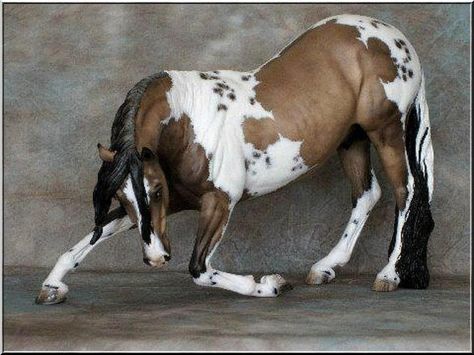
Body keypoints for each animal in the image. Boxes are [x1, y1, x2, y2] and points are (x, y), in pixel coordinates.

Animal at [36, 14, 434, 306]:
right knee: (367, 195)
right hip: (352, 139)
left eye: (157, 190)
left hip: (385, 131)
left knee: (405, 191)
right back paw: (324, 268)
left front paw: (271, 285)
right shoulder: (166, 207)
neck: (189, 124)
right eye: (122, 196)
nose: (156, 259)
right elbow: (92, 236)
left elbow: (199, 268)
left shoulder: (218, 201)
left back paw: (388, 275)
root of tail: (395, 38)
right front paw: (52, 287)